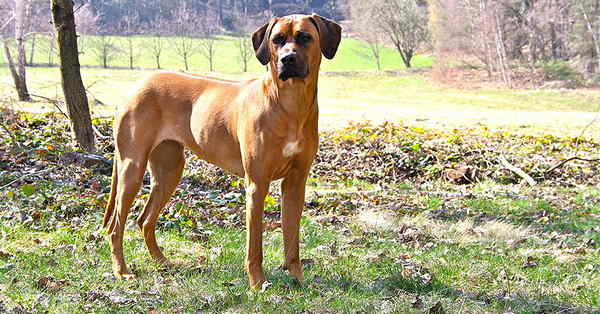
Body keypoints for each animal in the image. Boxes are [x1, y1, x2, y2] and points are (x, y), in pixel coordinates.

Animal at [103, 14, 342, 290]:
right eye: (277, 40)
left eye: (305, 37)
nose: (287, 59)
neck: (289, 104)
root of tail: (136, 84)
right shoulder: (256, 185)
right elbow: (254, 246)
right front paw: (257, 284)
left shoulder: (296, 183)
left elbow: (292, 240)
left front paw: (298, 279)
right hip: (132, 168)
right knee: (115, 225)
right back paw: (122, 271)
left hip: (169, 170)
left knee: (144, 220)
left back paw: (162, 262)